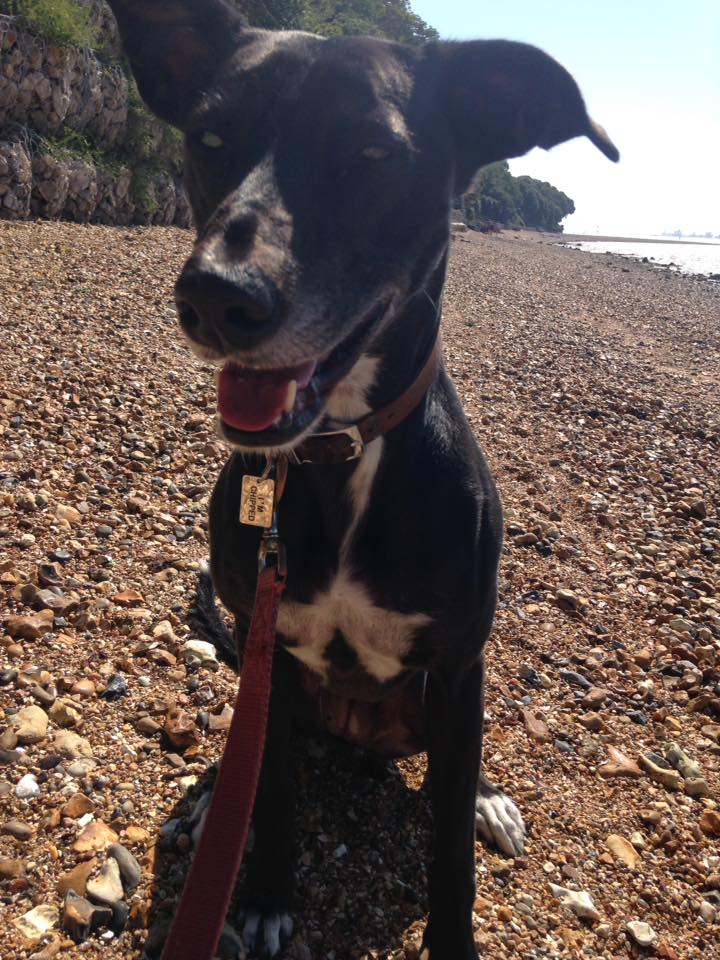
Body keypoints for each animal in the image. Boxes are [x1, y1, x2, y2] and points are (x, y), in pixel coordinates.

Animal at [108, 3, 620, 956]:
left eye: (373, 152)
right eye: (210, 136)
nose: (217, 297)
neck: (340, 451)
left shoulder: (456, 667)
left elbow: (449, 847)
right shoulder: (269, 659)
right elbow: (271, 794)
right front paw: (265, 897)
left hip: (438, 698)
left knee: (459, 771)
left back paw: (489, 797)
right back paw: (213, 800)